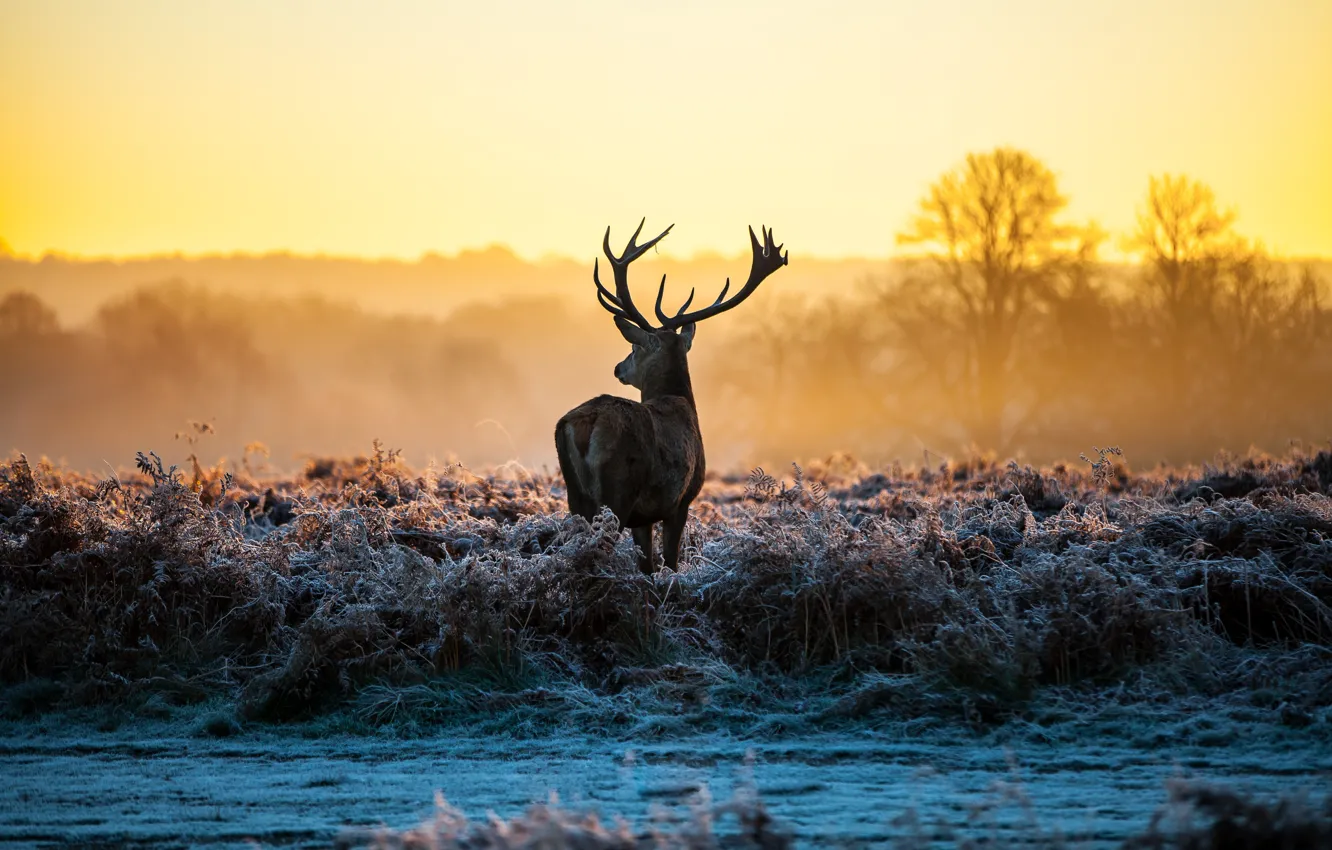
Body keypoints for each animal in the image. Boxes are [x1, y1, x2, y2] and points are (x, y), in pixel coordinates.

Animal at [555, 219, 788, 573]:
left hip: (576, 496)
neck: (680, 401)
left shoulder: (644, 517)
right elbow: (670, 563)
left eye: (634, 347)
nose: (618, 368)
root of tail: (584, 423)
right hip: (617, 490)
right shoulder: (681, 500)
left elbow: (648, 566)